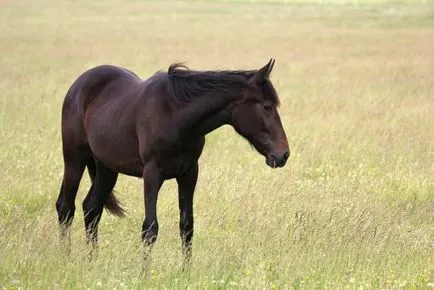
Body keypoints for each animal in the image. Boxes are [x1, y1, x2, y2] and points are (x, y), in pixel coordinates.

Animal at [56, 58, 288, 258]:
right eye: (267, 106)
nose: (283, 154)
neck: (175, 115)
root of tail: (78, 85)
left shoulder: (189, 173)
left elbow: (187, 226)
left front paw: (186, 272)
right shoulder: (152, 173)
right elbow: (150, 228)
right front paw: (144, 274)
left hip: (106, 168)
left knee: (91, 208)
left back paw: (92, 260)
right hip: (74, 158)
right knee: (66, 207)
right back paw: (66, 257)